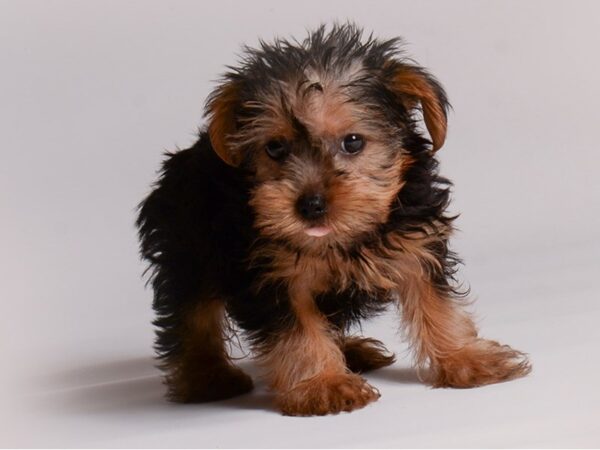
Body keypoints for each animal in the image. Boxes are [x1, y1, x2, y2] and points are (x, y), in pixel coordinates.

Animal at [136, 23, 528, 414]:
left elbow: (436, 302)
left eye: (352, 142)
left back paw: (351, 351)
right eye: (274, 148)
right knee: (193, 315)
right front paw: (322, 384)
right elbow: (298, 330)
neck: (344, 237)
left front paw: (466, 358)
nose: (310, 205)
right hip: (189, 249)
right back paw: (207, 377)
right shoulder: (273, 275)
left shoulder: (417, 244)